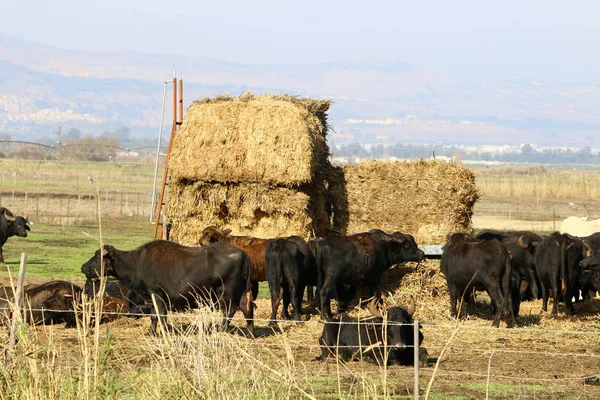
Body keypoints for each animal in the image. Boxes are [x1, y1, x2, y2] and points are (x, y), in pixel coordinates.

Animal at [80, 241, 255, 334]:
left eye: (97, 256)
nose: (82, 267)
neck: (137, 262)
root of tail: (243, 254)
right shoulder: (152, 297)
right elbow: (154, 315)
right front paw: (151, 332)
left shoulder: (156, 294)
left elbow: (160, 315)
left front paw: (163, 331)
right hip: (241, 292)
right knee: (247, 309)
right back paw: (250, 333)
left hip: (226, 293)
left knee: (229, 311)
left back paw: (220, 330)